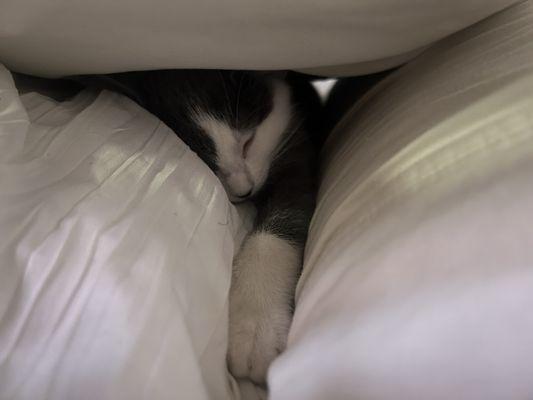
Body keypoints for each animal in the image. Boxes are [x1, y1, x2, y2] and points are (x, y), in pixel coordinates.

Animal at [75, 70, 320, 386]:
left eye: (248, 142)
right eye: (206, 162)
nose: (244, 190)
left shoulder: (295, 148)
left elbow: (287, 212)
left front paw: (257, 324)